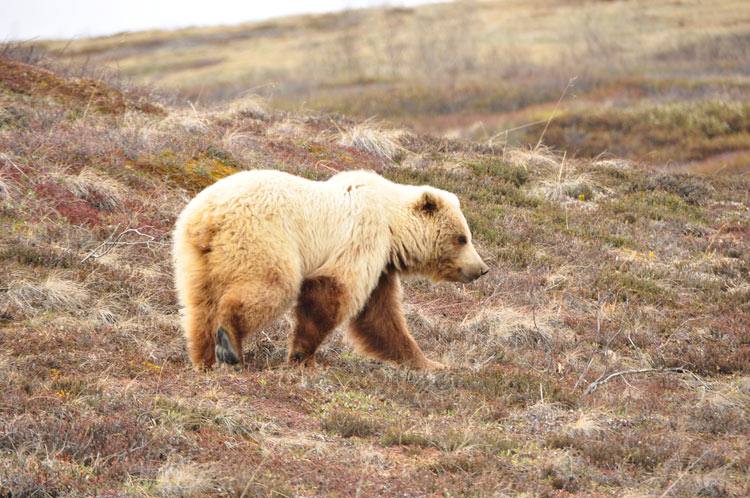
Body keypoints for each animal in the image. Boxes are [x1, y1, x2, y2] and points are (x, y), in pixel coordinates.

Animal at [172, 170, 488, 370]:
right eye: (462, 238)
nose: (481, 269)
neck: (391, 226)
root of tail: (209, 217)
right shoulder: (362, 235)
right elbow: (334, 290)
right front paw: (303, 355)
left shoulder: (381, 269)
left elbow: (380, 317)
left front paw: (430, 363)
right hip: (263, 238)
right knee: (272, 286)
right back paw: (229, 344)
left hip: (193, 257)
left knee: (199, 304)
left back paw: (203, 356)